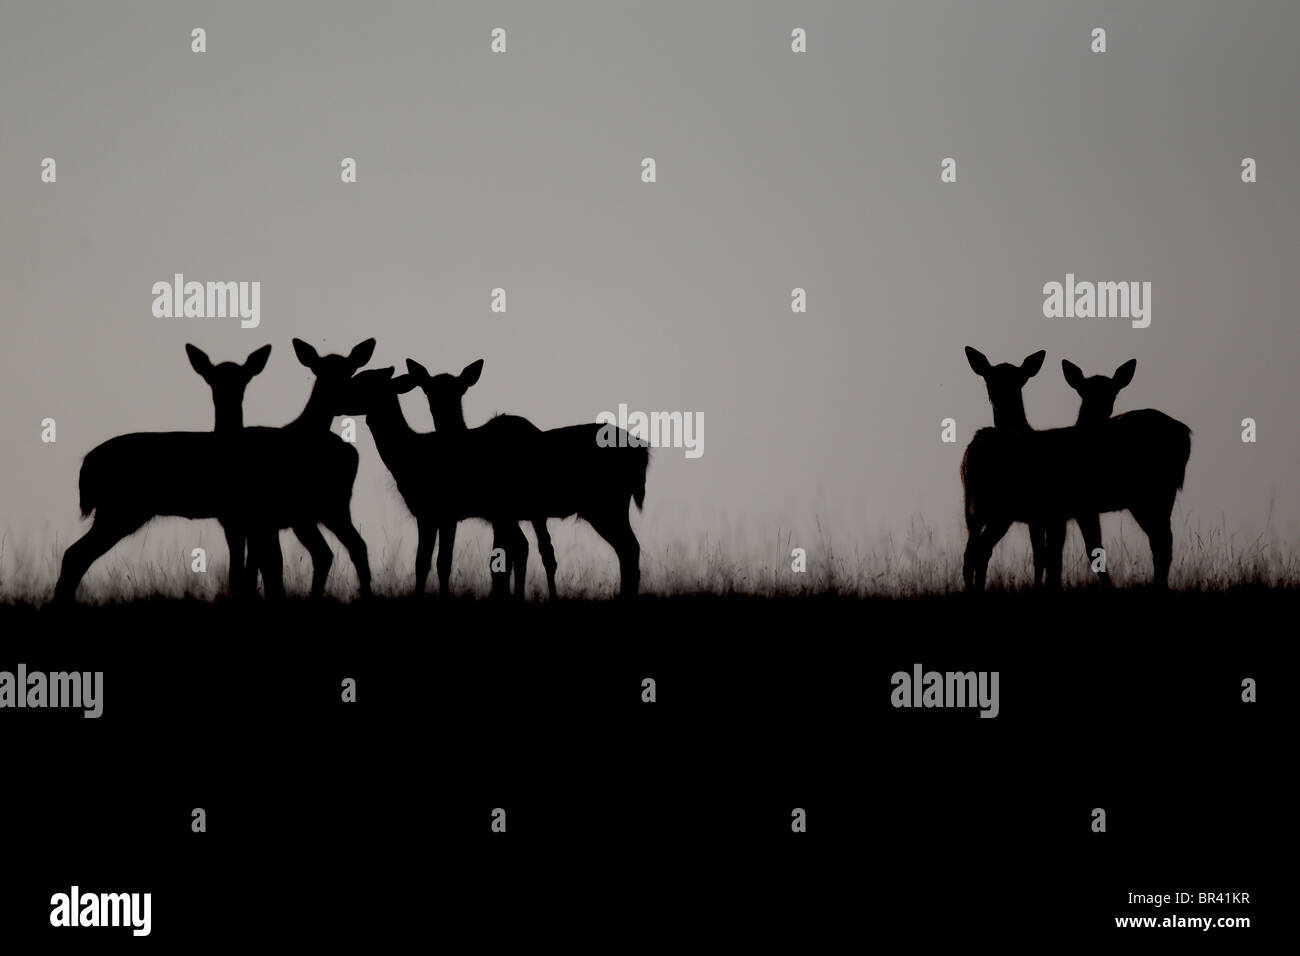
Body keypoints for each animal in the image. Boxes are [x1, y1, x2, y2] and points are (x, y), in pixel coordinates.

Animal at [58, 340, 379, 600]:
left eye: (351, 371)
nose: (347, 400)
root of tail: (87, 466)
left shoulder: (249, 518)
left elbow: (257, 568)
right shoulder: (246, 518)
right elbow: (260, 568)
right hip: (121, 509)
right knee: (75, 554)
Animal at [961, 348, 1190, 590]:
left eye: (1018, 380)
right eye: (988, 380)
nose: (996, 401)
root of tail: (1185, 434)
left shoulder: (1059, 512)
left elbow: (1055, 556)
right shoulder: (1062, 511)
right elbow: (1057, 554)